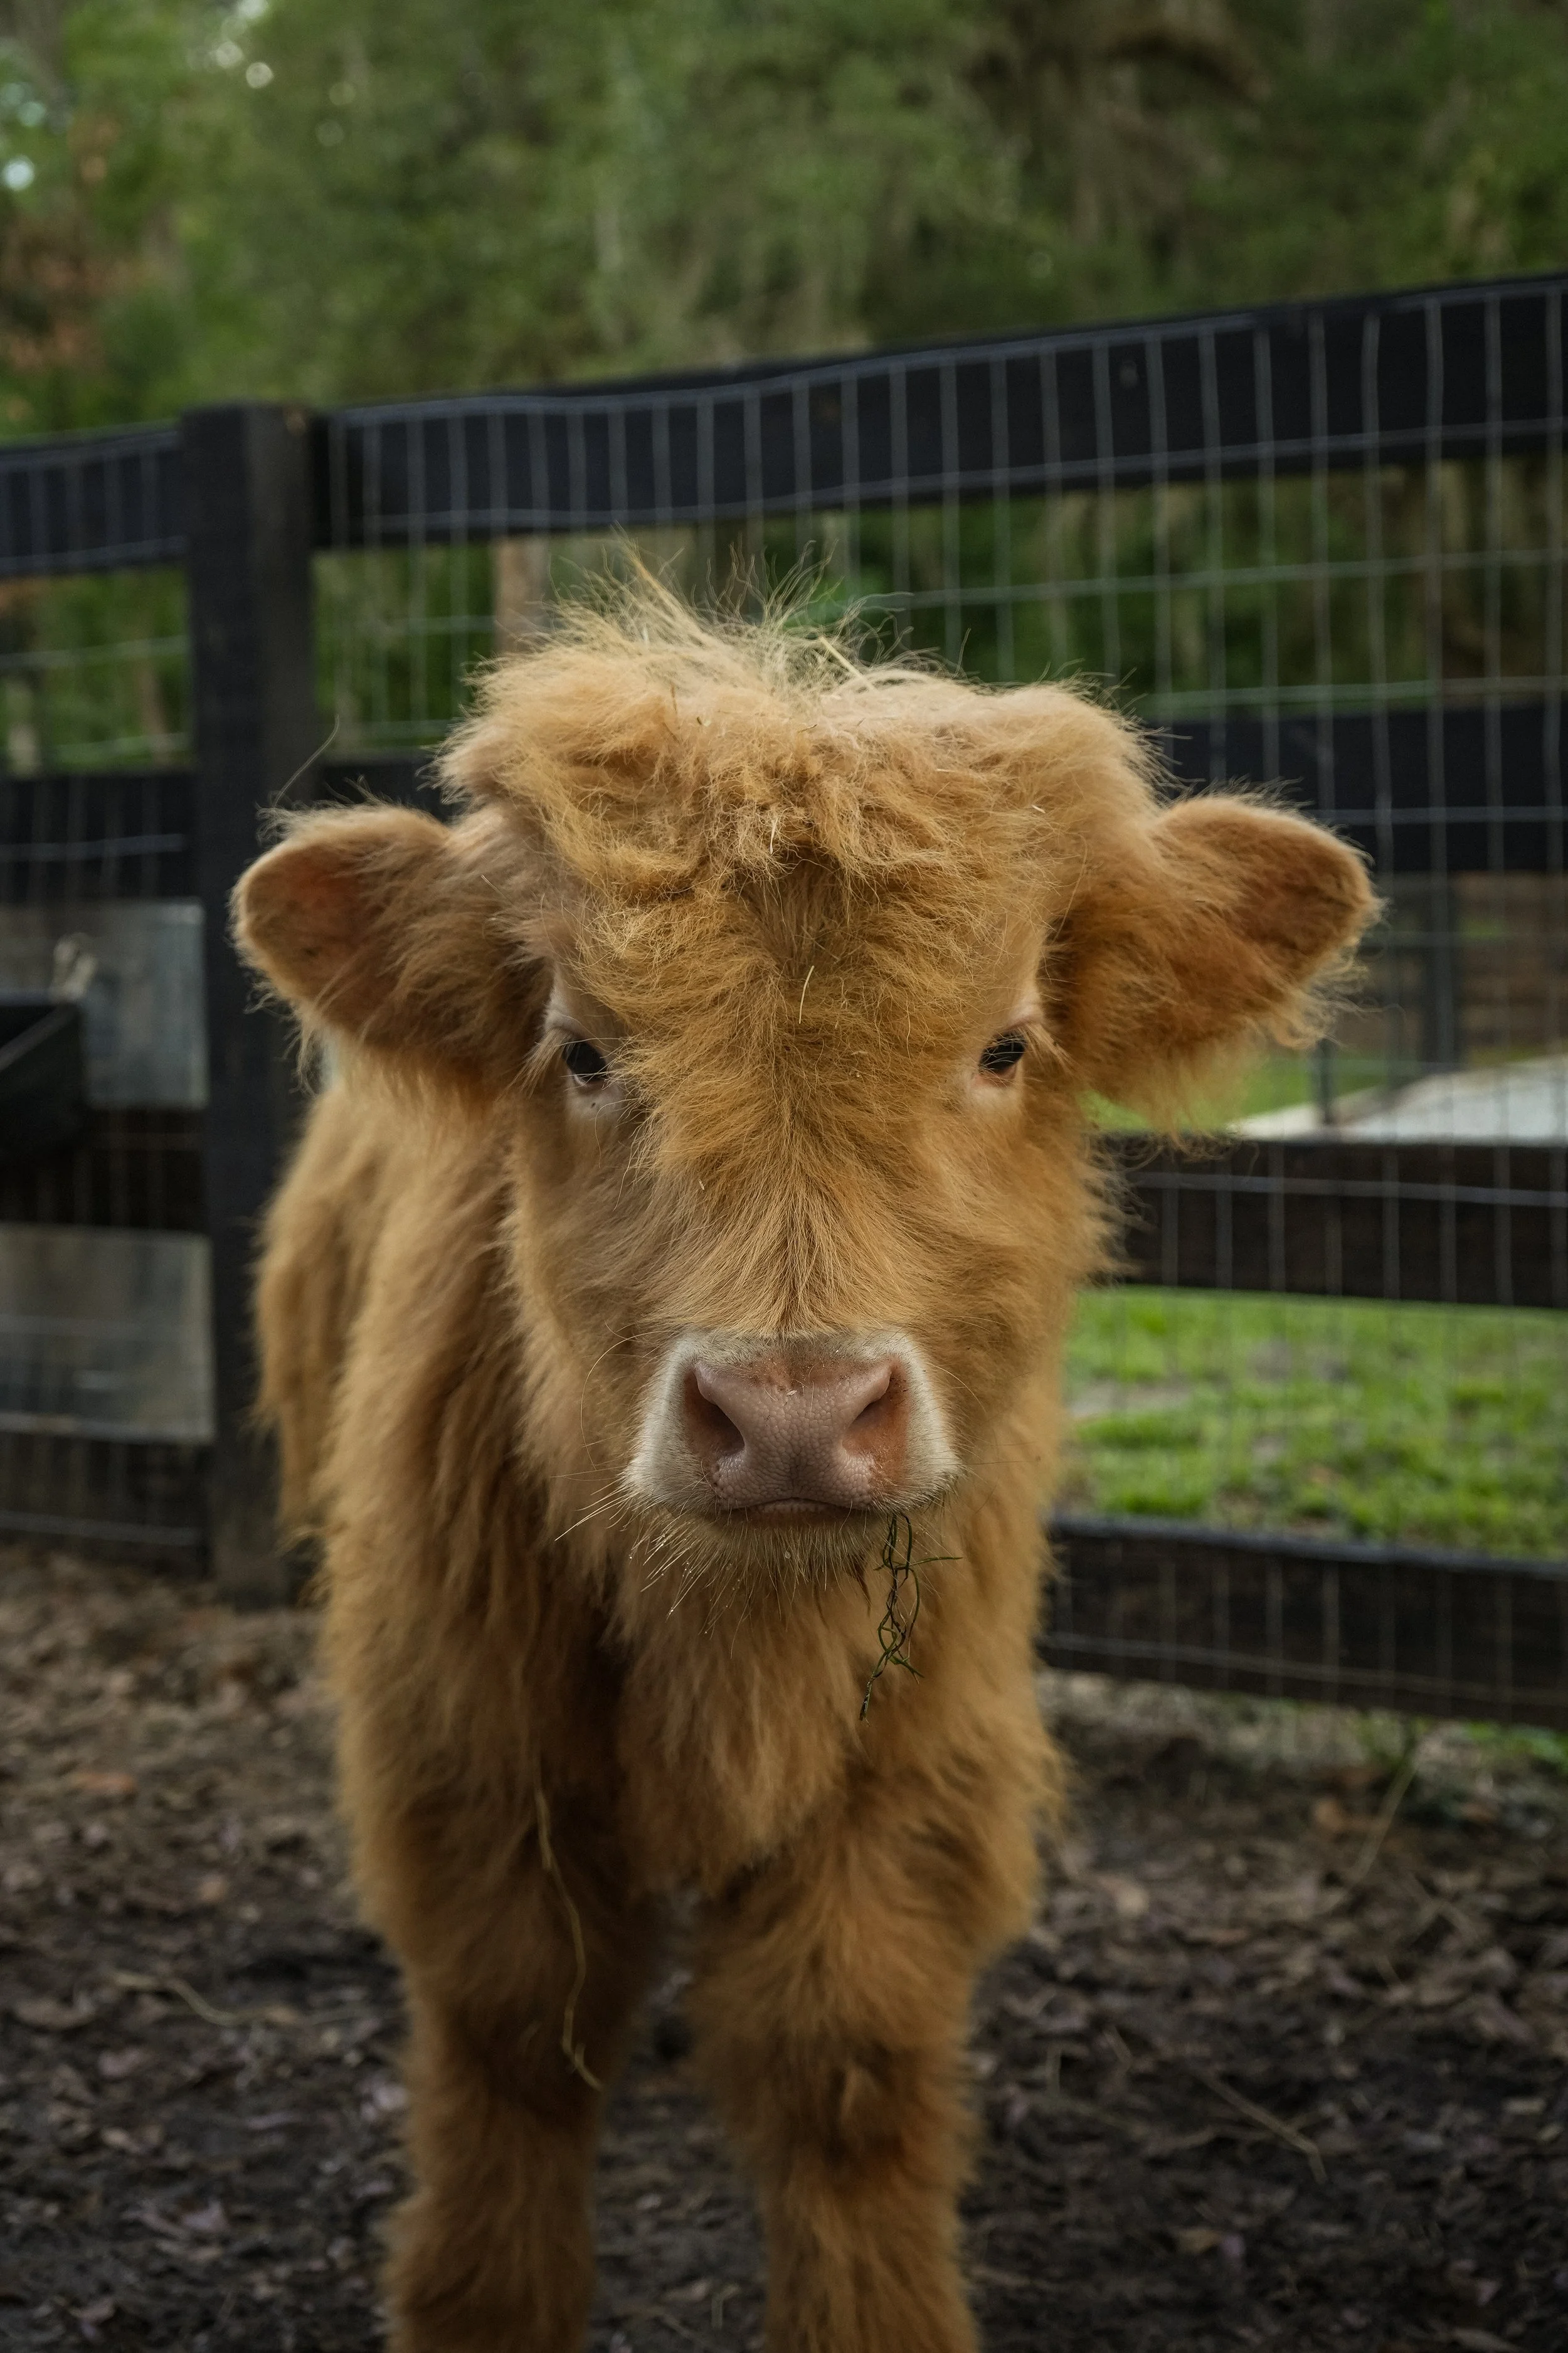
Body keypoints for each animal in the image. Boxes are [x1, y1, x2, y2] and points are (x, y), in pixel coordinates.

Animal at [235, 585, 1374, 2353]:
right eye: (582, 1051)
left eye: (1004, 1045)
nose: (787, 1409)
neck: (737, 1644)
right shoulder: (469, 1749)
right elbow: (511, 2037)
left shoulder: (911, 1768)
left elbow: (838, 2061)